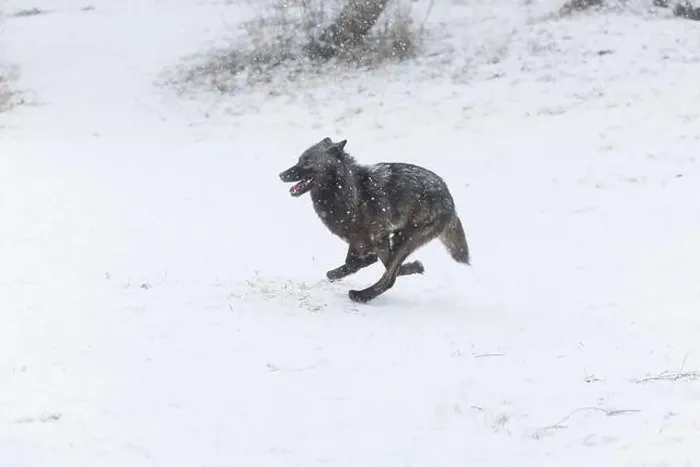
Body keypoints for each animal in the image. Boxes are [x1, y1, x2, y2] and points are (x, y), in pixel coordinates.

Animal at [279, 137, 470, 303]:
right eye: (299, 159)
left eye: (307, 161)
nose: (281, 174)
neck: (349, 191)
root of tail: (449, 198)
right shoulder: (358, 239)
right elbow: (352, 263)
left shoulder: (378, 238)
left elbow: (374, 263)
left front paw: (412, 267)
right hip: (399, 237)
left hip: (406, 240)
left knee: (389, 278)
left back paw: (361, 295)